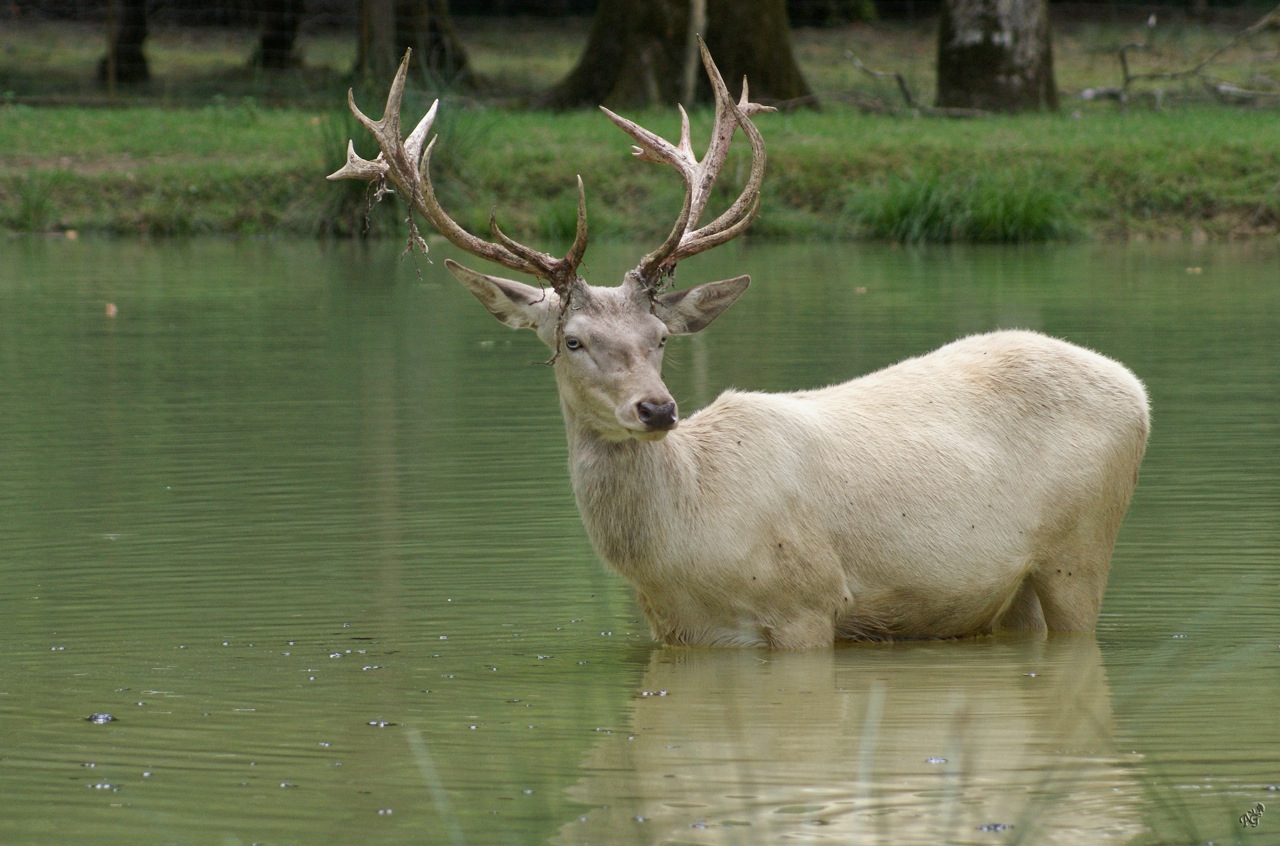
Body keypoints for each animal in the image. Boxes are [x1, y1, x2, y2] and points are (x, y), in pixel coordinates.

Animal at [332, 42, 1152, 650]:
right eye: (572, 340)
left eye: (661, 336)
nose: (657, 409)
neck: (686, 544)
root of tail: (1138, 389)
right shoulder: (677, 634)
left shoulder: (809, 602)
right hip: (1007, 596)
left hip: (1081, 551)